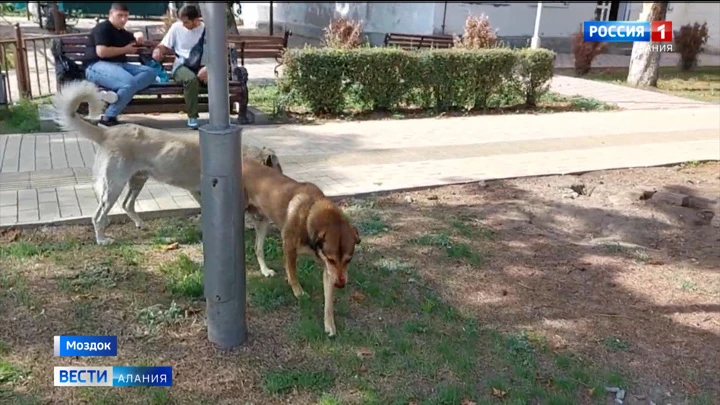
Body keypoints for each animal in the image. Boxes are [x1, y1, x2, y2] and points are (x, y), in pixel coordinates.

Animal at [243, 158, 360, 334]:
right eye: (332, 259)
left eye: (348, 259)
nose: (340, 284)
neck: (310, 212)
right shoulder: (290, 248)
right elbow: (293, 274)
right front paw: (298, 292)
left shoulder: (328, 270)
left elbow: (328, 301)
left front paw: (329, 325)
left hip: (262, 222)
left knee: (257, 249)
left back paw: (265, 271)